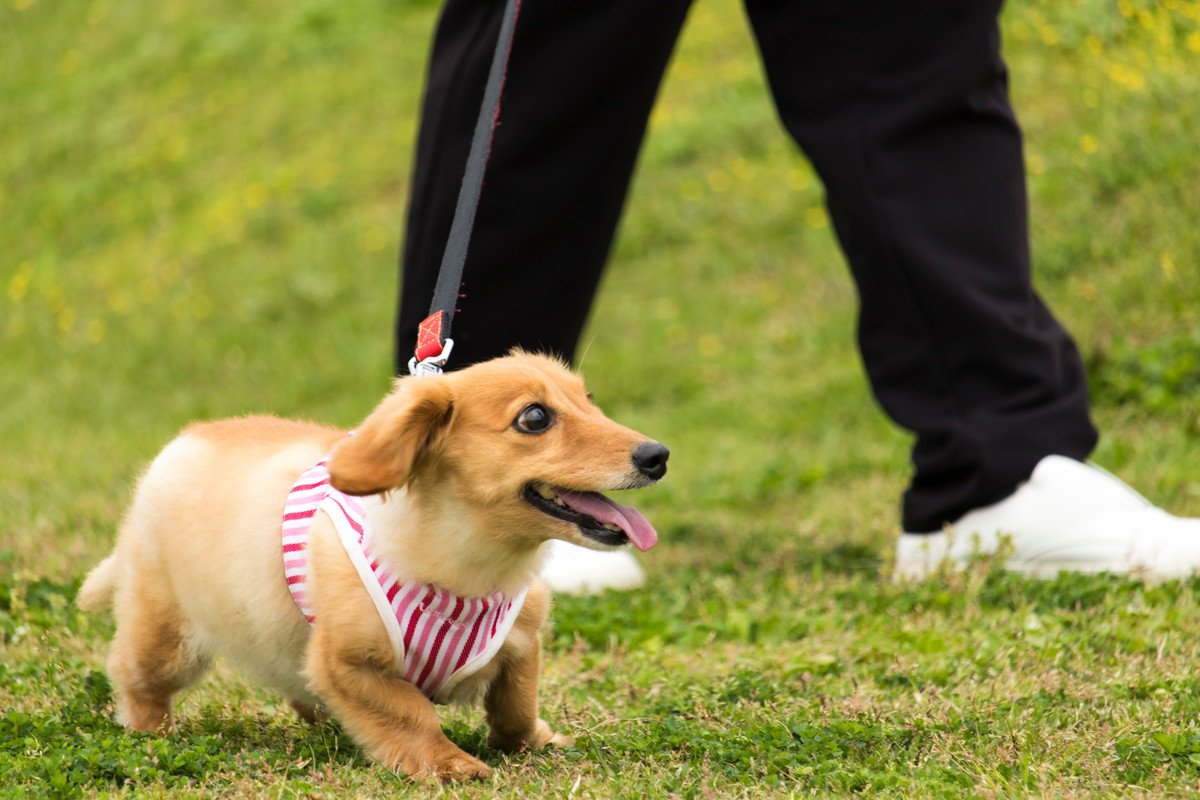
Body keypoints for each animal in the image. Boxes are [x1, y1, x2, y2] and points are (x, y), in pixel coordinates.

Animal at [77, 355, 667, 782]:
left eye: (589, 402)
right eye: (536, 418)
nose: (657, 455)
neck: (471, 570)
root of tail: (180, 444)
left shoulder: (523, 643)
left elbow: (517, 705)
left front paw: (533, 743)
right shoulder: (349, 663)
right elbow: (412, 714)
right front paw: (451, 765)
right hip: (166, 637)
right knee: (136, 679)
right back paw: (150, 734)